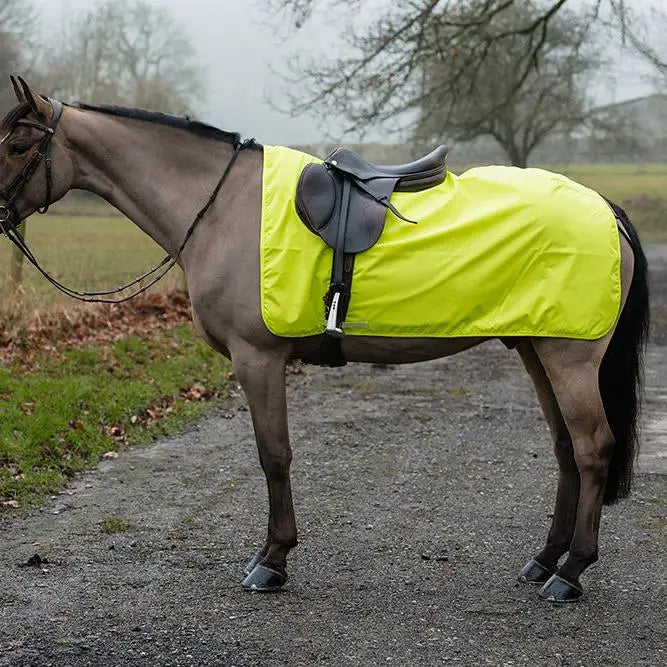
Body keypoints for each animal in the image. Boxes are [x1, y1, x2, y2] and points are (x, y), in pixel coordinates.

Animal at [0, 78, 649, 603]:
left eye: (16, 146)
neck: (221, 206)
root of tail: (605, 208)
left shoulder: (258, 359)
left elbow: (274, 455)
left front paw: (272, 561)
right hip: (539, 348)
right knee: (566, 450)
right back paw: (544, 561)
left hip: (569, 357)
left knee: (592, 448)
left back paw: (571, 573)